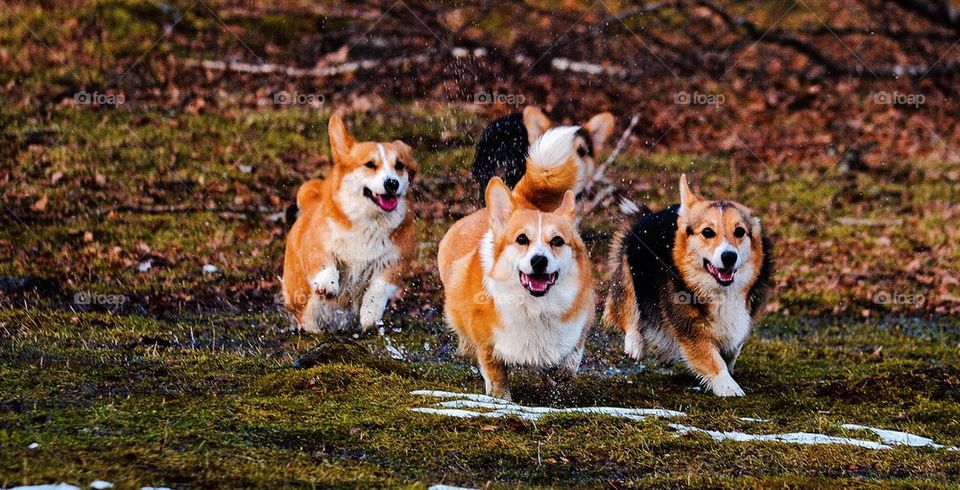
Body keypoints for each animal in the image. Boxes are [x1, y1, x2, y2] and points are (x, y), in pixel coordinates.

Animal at [284, 114, 420, 334]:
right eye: (370, 164)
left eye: (399, 165)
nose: (392, 183)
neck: (370, 221)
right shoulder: (318, 242)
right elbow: (324, 260)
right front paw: (328, 282)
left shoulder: (397, 260)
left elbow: (379, 286)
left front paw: (370, 313)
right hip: (302, 293)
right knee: (306, 313)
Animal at [440, 127, 592, 402]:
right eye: (522, 239)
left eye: (557, 241)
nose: (539, 260)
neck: (534, 305)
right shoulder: (488, 347)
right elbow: (496, 376)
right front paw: (502, 399)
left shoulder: (582, 321)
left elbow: (570, 357)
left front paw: (559, 373)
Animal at [608, 174, 772, 396]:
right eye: (707, 232)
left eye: (739, 232)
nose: (729, 256)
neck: (721, 291)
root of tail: (647, 216)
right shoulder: (690, 327)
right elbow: (711, 359)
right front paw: (729, 386)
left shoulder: (743, 316)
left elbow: (734, 345)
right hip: (628, 272)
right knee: (628, 304)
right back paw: (635, 343)